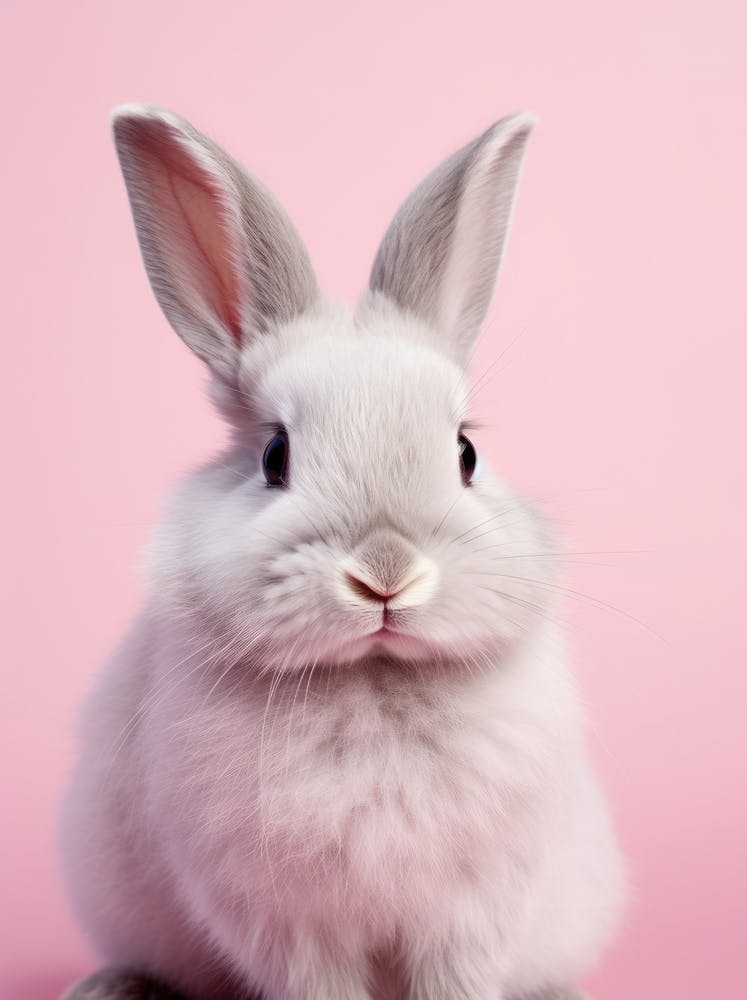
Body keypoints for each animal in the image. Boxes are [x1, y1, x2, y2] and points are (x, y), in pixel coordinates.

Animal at [59, 105, 626, 1000]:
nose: (387, 574)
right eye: (274, 456)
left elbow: (456, 980)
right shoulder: (283, 920)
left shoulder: (471, 911)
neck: (372, 679)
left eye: (464, 453)